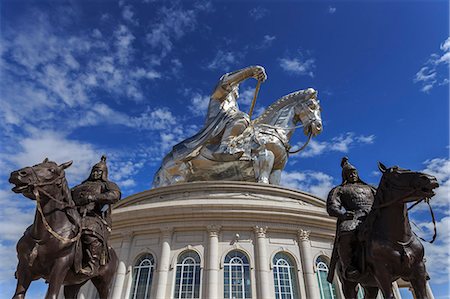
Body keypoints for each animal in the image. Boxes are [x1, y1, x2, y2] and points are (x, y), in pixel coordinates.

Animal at [153, 88, 322, 189]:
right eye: (311, 105)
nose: (318, 127)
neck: (272, 130)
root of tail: (163, 164)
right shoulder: (265, 155)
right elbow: (263, 180)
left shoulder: (278, 167)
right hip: (178, 176)